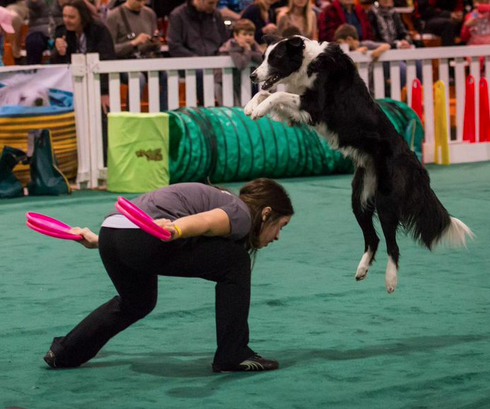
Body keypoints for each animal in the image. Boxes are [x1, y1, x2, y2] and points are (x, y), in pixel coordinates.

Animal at [245, 36, 474, 294]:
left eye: (275, 58)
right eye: (263, 57)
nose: (252, 75)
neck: (309, 63)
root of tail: (415, 165)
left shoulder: (314, 106)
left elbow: (276, 95)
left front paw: (257, 109)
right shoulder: (296, 115)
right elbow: (268, 94)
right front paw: (251, 105)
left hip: (386, 201)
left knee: (392, 244)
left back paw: (390, 281)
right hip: (360, 197)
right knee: (373, 238)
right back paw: (361, 270)